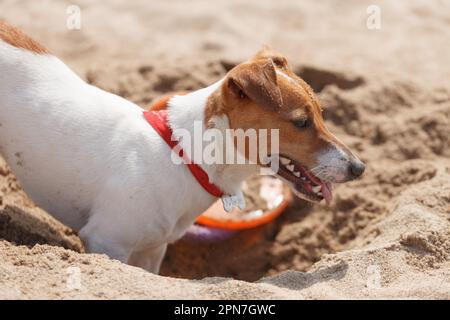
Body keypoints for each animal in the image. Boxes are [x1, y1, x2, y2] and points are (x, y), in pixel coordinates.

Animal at [0, 21, 364, 272]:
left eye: (322, 114)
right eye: (301, 122)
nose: (359, 168)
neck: (184, 155)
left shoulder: (151, 250)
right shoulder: (106, 241)